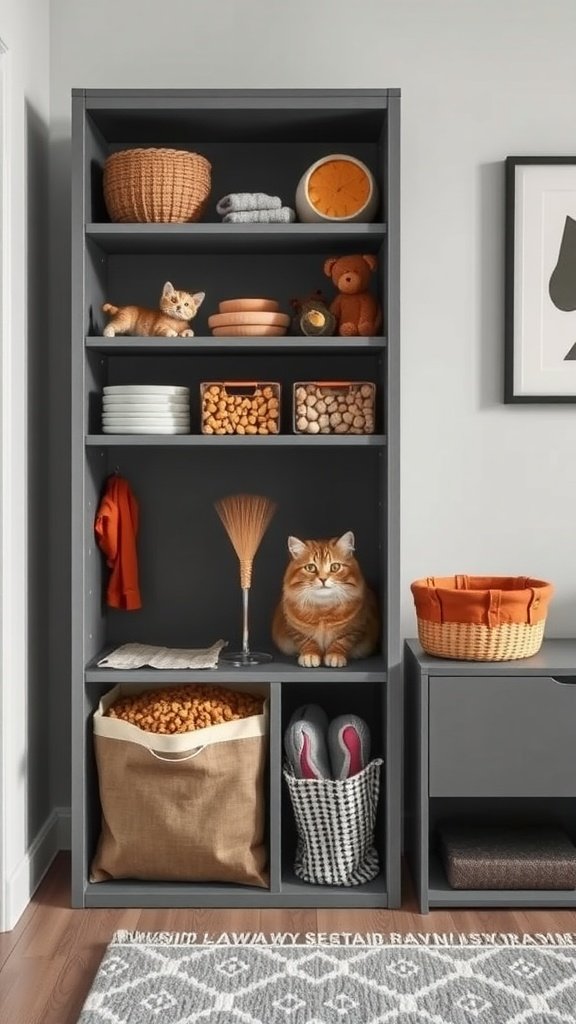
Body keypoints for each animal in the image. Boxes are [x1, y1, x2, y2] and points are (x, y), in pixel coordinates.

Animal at [270, 532, 379, 667]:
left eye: (335, 567)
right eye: (310, 567)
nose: (323, 579)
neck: (323, 610)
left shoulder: (355, 628)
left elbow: (341, 642)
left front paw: (335, 655)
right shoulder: (294, 629)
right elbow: (307, 642)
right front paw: (310, 655)